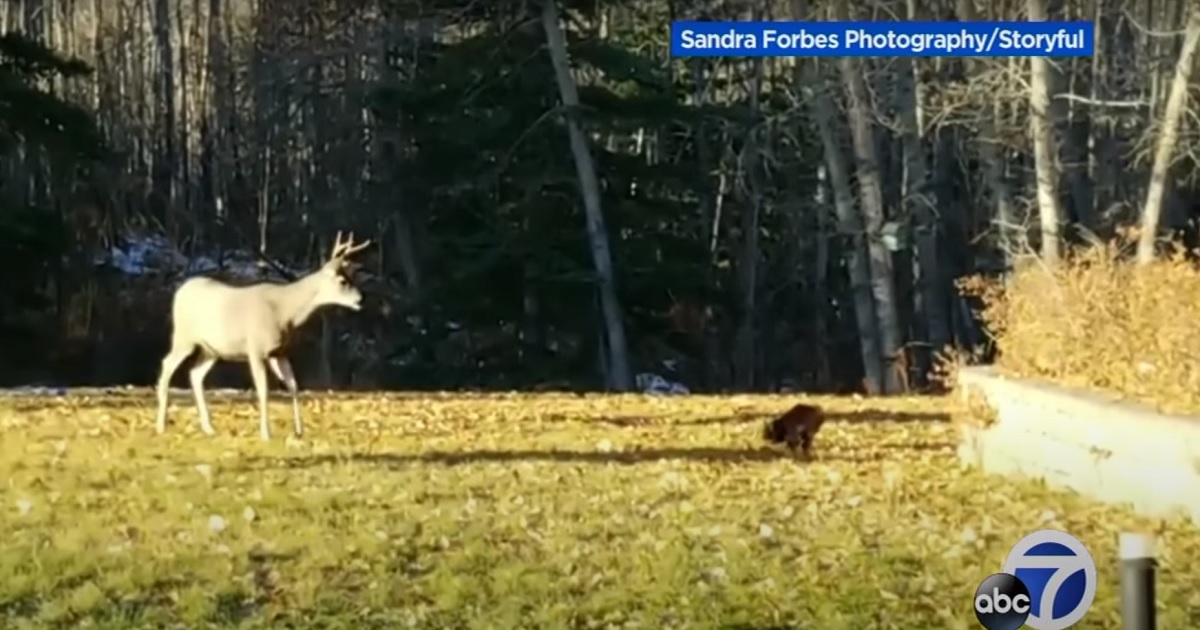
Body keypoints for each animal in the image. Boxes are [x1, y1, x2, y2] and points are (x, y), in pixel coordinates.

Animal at [153, 228, 369, 439]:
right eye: (343, 281)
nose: (361, 299)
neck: (285, 312)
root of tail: (180, 290)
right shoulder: (256, 349)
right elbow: (263, 391)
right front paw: (266, 433)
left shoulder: (279, 352)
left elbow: (293, 385)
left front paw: (299, 430)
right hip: (184, 337)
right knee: (166, 364)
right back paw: (161, 425)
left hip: (212, 349)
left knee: (195, 374)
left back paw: (208, 428)